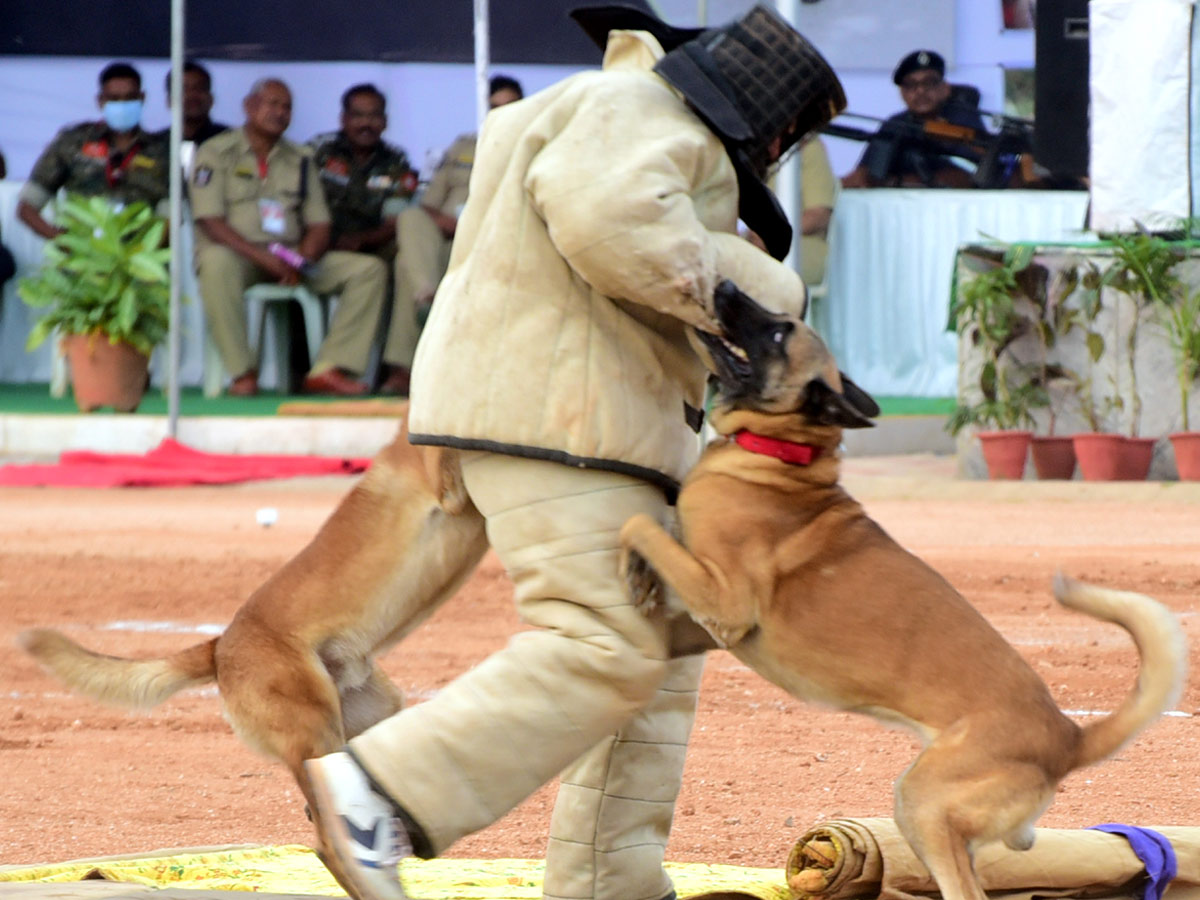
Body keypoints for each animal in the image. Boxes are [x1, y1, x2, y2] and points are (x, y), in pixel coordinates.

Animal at [624, 282, 1185, 900]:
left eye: (778, 331)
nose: (723, 285)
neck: (783, 454)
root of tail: (1067, 735)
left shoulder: (724, 603)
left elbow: (641, 523)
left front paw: (635, 562)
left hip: (921, 803)